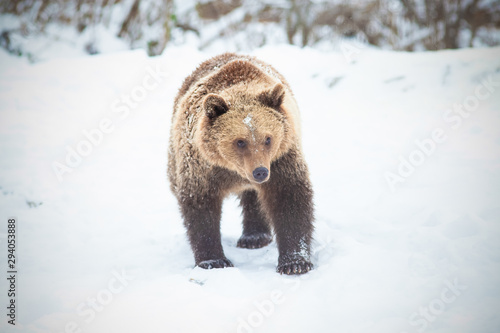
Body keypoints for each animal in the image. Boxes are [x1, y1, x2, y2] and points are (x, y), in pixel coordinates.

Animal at [170, 52, 314, 274]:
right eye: (240, 141)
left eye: (268, 138)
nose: (260, 172)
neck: (233, 170)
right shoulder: (201, 167)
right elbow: (200, 207)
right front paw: (213, 260)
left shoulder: (281, 159)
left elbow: (289, 198)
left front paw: (295, 262)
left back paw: (255, 237)